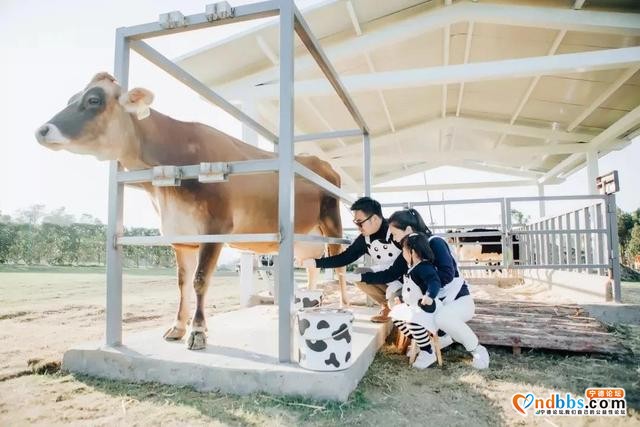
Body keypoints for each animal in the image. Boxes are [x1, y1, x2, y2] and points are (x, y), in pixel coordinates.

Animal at [35, 72, 348, 350]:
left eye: (93, 100)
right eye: (72, 98)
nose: (42, 130)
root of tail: (321, 162)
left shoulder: (215, 229)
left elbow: (199, 281)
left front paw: (197, 332)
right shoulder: (181, 236)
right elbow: (182, 283)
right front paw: (177, 327)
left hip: (332, 224)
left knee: (340, 265)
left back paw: (344, 306)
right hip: (304, 239)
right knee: (312, 266)